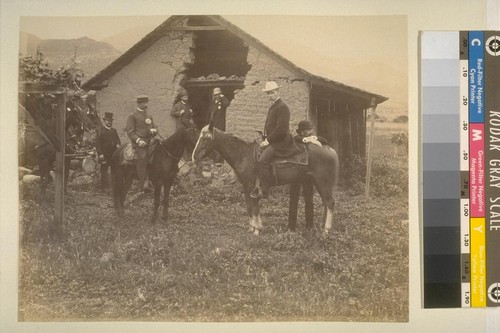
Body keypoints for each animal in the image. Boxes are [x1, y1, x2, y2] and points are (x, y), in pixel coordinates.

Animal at [191, 125, 340, 236]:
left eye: (204, 138)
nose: (194, 157)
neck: (244, 154)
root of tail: (330, 149)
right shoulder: (246, 187)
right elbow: (249, 206)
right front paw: (252, 227)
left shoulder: (253, 186)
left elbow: (255, 207)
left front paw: (257, 229)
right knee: (326, 203)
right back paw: (321, 226)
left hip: (323, 181)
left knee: (330, 203)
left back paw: (326, 230)